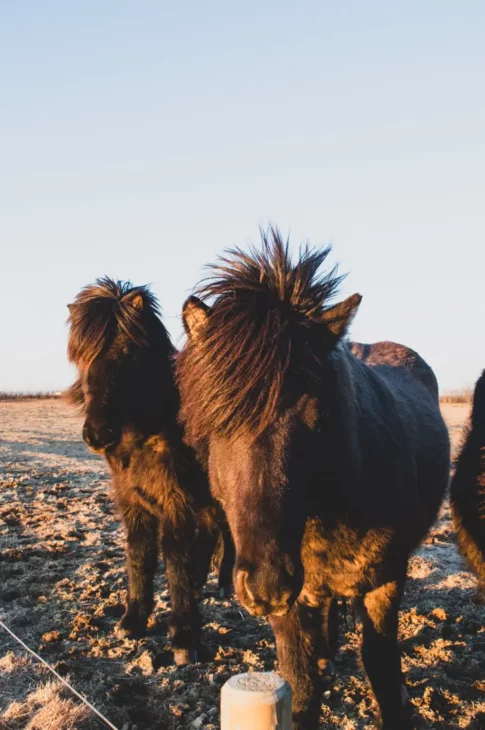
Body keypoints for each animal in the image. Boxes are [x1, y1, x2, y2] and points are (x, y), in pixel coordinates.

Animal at [67, 276, 233, 664]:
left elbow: (175, 560)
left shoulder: (177, 503)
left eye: (128, 353)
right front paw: (133, 620)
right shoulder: (134, 501)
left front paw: (184, 638)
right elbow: (140, 555)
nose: (98, 435)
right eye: (80, 357)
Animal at [175, 229, 450, 728]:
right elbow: (300, 687)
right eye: (216, 419)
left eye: (317, 415)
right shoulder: (294, 603)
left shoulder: (386, 580)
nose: (266, 585)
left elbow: (381, 665)